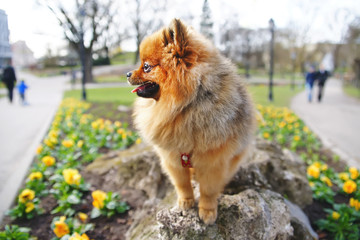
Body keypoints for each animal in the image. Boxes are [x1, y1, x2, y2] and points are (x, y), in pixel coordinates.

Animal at [126, 18, 256, 225]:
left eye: (146, 67)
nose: (127, 74)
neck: (185, 108)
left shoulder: (214, 161)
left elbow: (208, 190)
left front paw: (207, 211)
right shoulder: (172, 157)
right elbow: (182, 184)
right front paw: (185, 202)